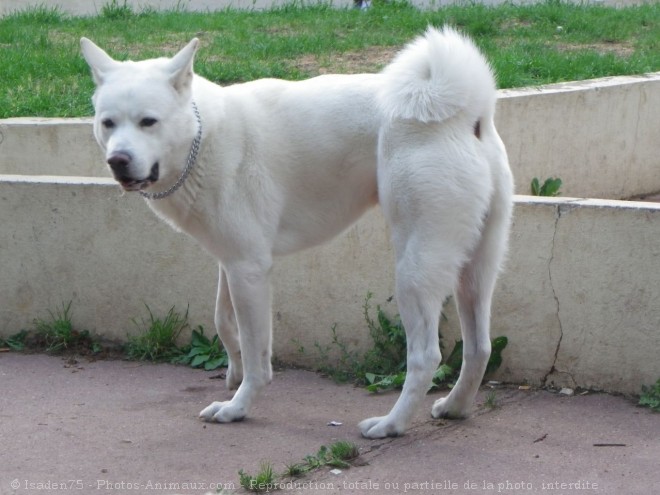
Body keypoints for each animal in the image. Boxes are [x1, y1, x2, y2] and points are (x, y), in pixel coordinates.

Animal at [82, 27, 512, 438]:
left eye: (148, 121)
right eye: (108, 123)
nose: (118, 160)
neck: (202, 137)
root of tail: (467, 113)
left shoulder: (250, 270)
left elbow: (257, 355)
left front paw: (238, 406)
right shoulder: (233, 263)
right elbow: (224, 322)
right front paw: (233, 372)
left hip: (415, 271)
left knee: (426, 358)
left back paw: (391, 425)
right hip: (474, 272)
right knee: (479, 347)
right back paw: (455, 407)